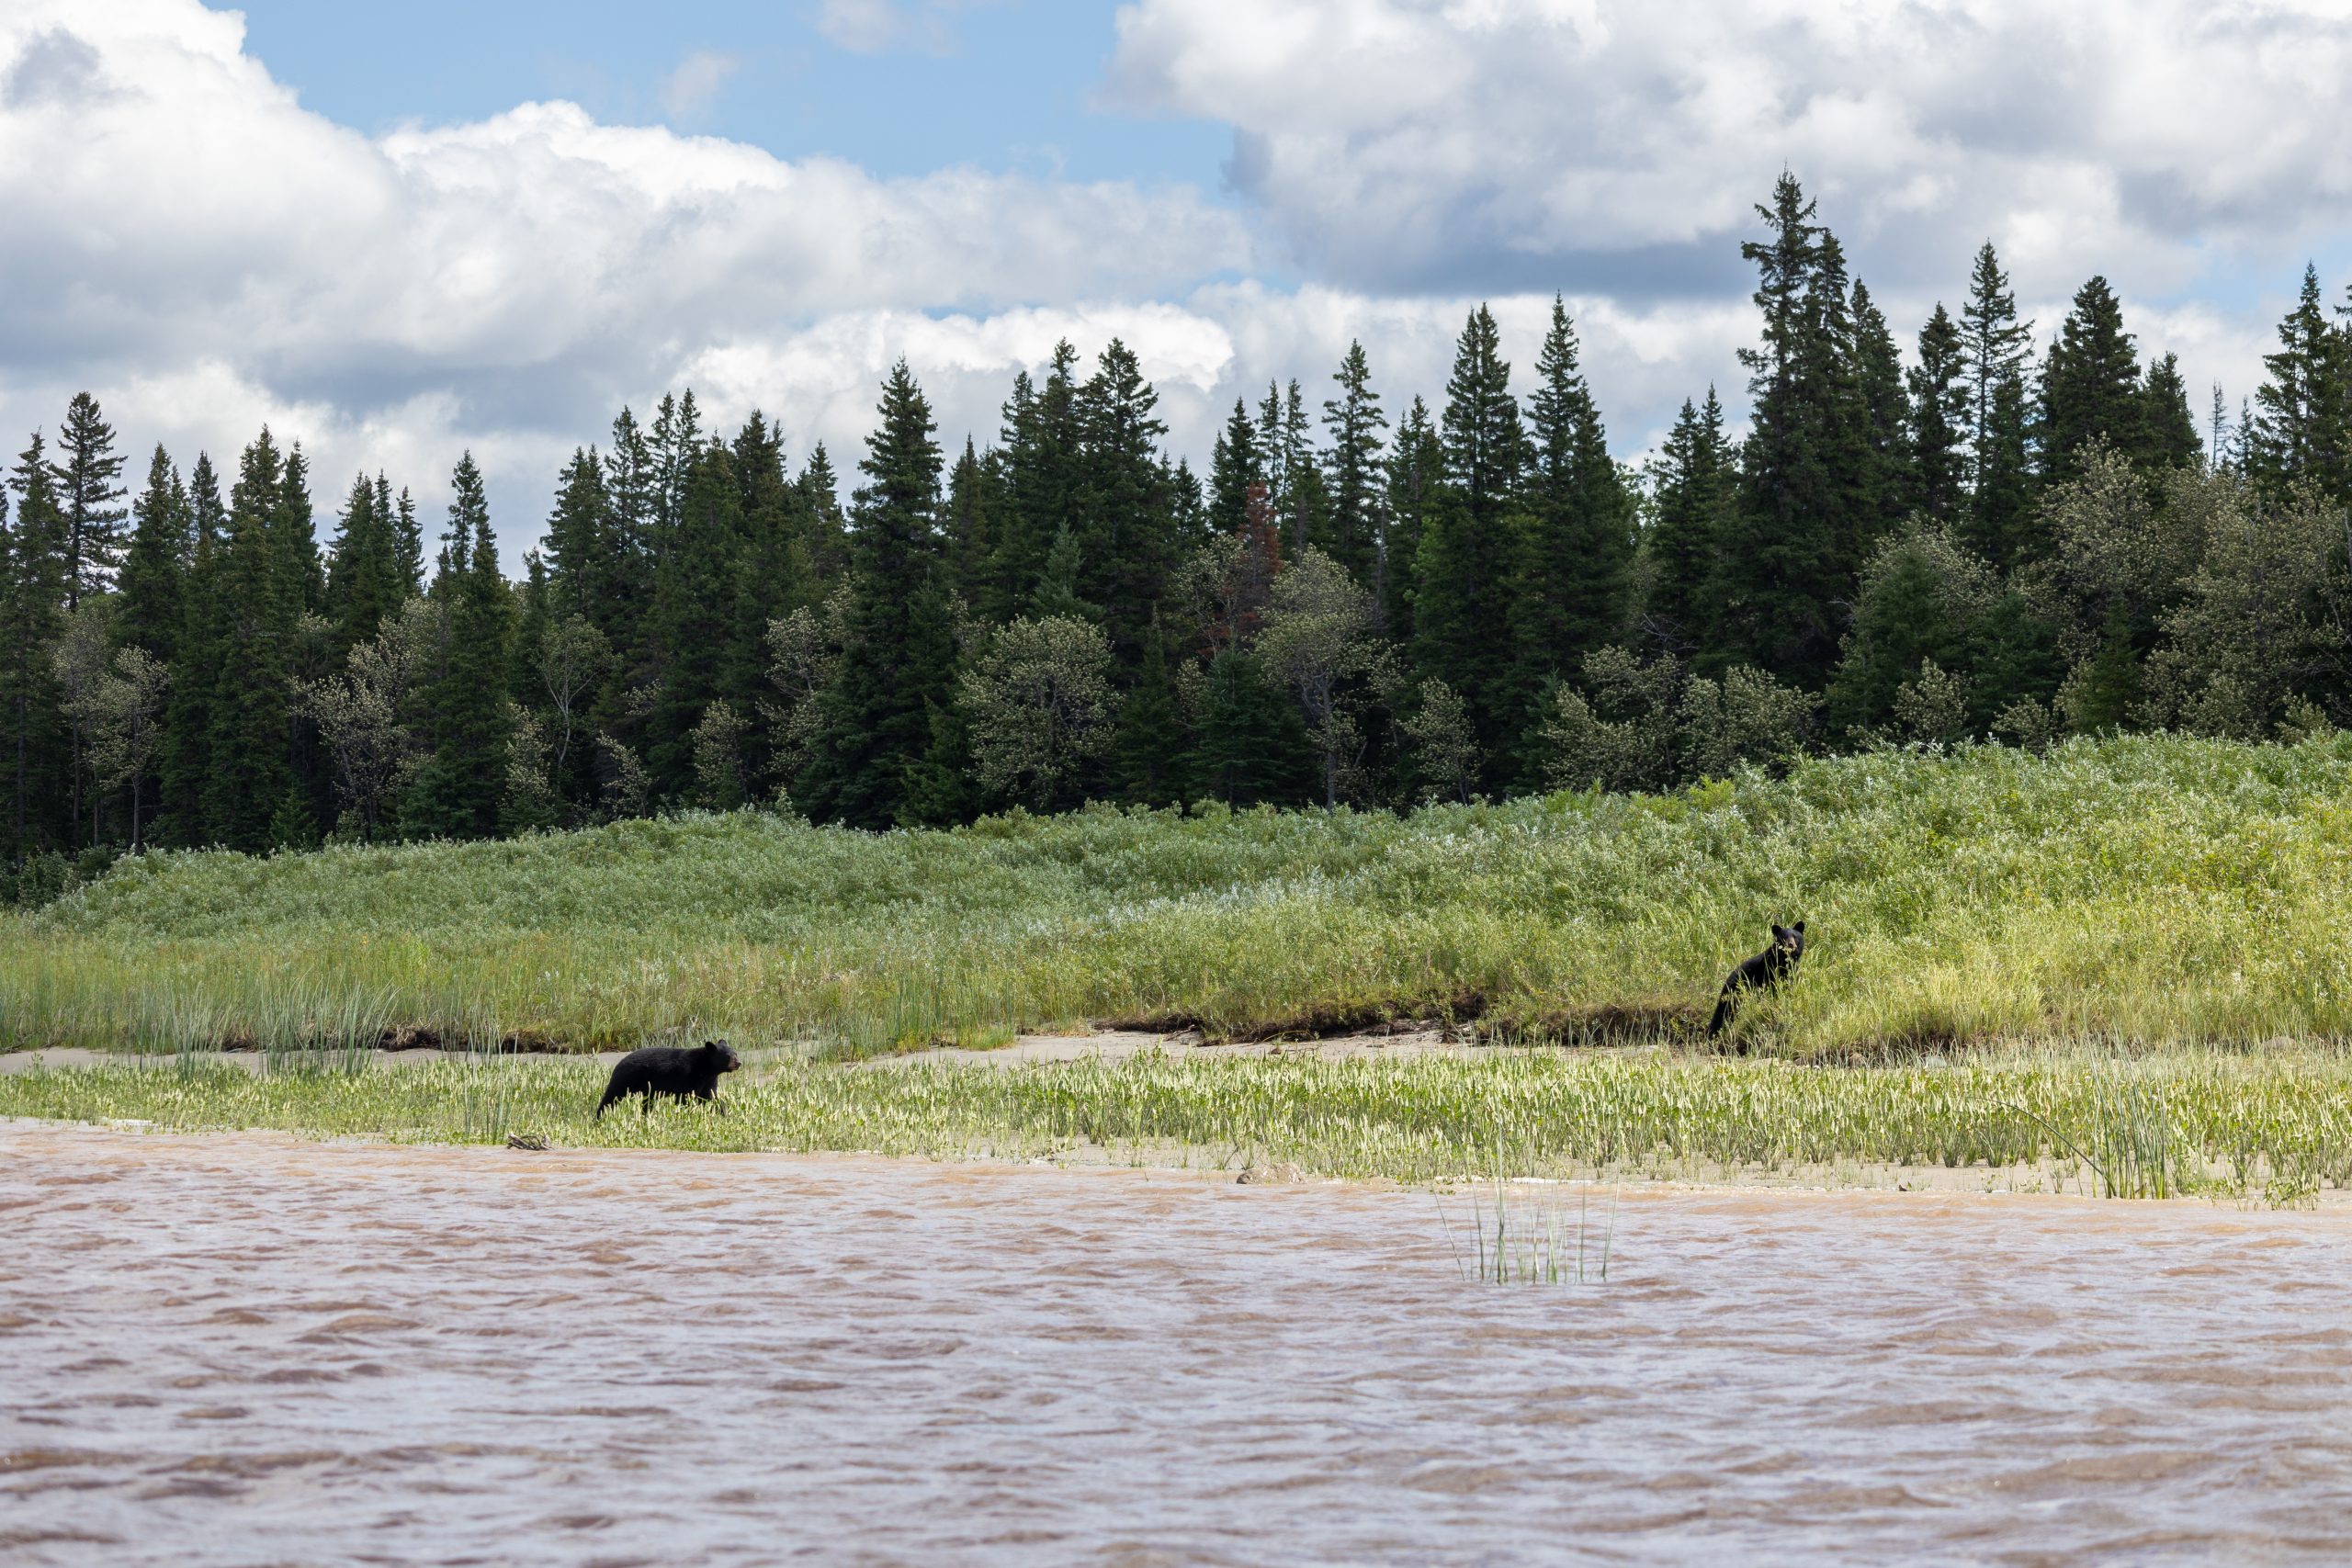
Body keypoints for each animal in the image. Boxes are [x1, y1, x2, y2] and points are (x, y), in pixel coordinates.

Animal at [595, 1040, 741, 1118]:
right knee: (611, 1097)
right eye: (728, 1056)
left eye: (736, 1053)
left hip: (647, 1089)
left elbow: (711, 1097)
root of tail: (619, 1063)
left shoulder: (709, 1080)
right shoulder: (688, 1075)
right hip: (626, 1079)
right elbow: (685, 1098)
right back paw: (599, 1116)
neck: (706, 1067)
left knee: (647, 1103)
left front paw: (725, 1113)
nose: (739, 1063)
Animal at [1706, 922, 1806, 1040]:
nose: (1790, 944)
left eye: (1795, 936)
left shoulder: (1792, 971)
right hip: (1736, 992)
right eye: (1784, 937)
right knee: (1724, 1011)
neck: (1784, 960)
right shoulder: (1770, 970)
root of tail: (1728, 979)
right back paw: (1712, 1034)